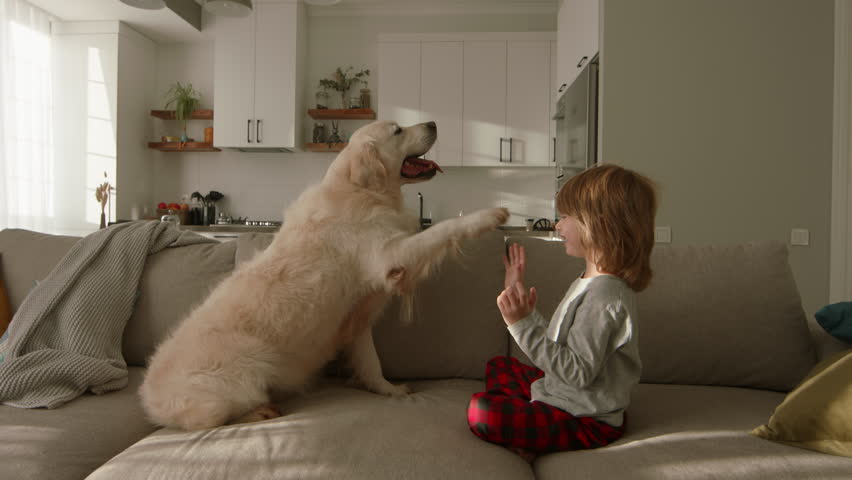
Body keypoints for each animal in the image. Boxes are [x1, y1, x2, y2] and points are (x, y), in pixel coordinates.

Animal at [141, 121, 506, 432]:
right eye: (398, 130)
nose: (433, 123)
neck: (361, 190)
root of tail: (150, 399)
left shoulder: (357, 317)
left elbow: (371, 362)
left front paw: (387, 389)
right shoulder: (392, 256)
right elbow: (446, 228)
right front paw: (489, 215)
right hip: (244, 376)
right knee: (213, 420)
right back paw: (261, 412)